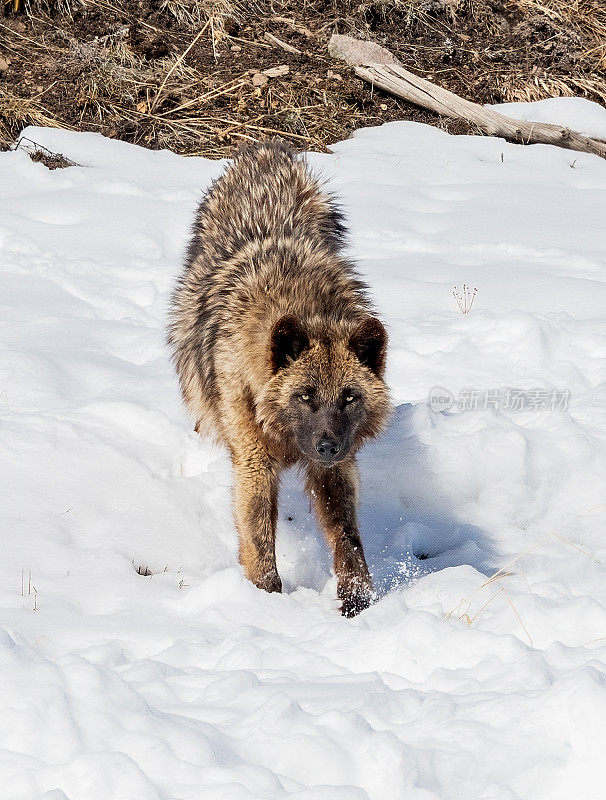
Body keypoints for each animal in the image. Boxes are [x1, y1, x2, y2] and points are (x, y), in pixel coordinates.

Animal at [169, 142, 392, 620]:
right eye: (305, 395)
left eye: (349, 398)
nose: (327, 446)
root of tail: (263, 149)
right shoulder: (254, 462)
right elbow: (258, 541)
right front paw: (265, 602)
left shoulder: (337, 469)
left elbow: (347, 537)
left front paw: (357, 601)